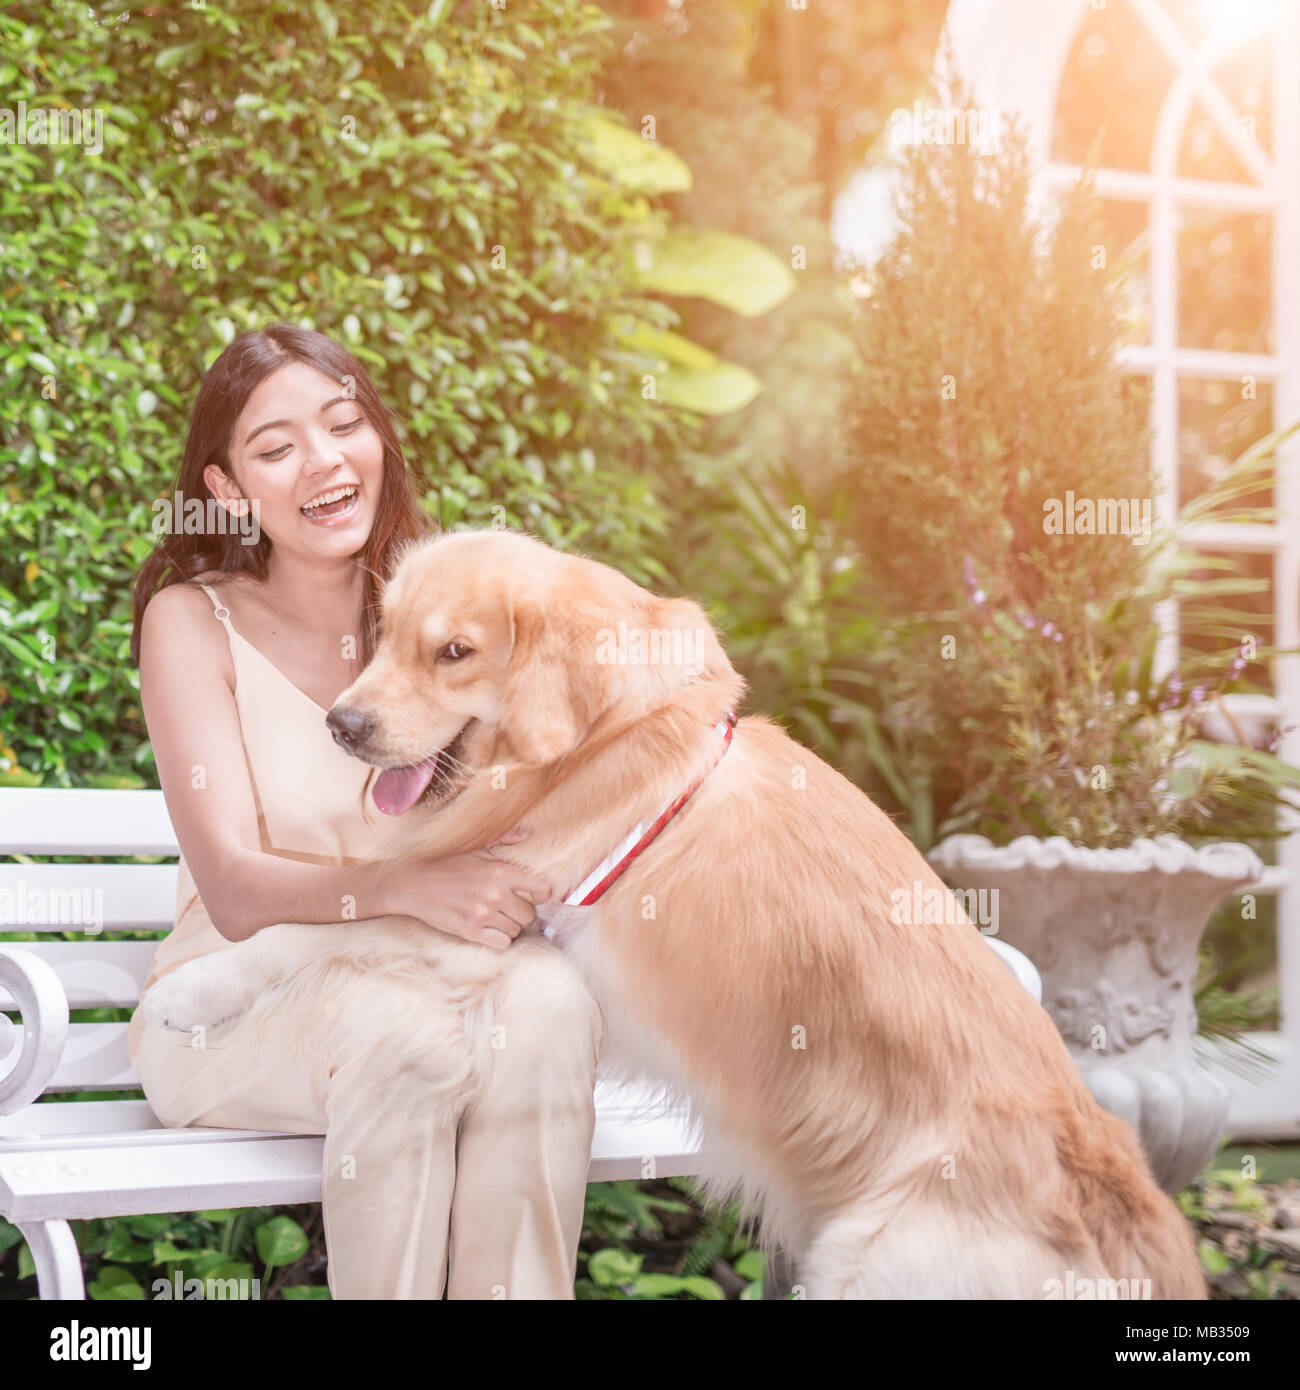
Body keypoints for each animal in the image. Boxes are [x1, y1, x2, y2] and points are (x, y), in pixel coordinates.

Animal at [136, 525, 1206, 1295]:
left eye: (454, 652)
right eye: (387, 637)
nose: (342, 723)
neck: (596, 741)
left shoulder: (502, 911)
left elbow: (321, 925)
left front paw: (190, 991)